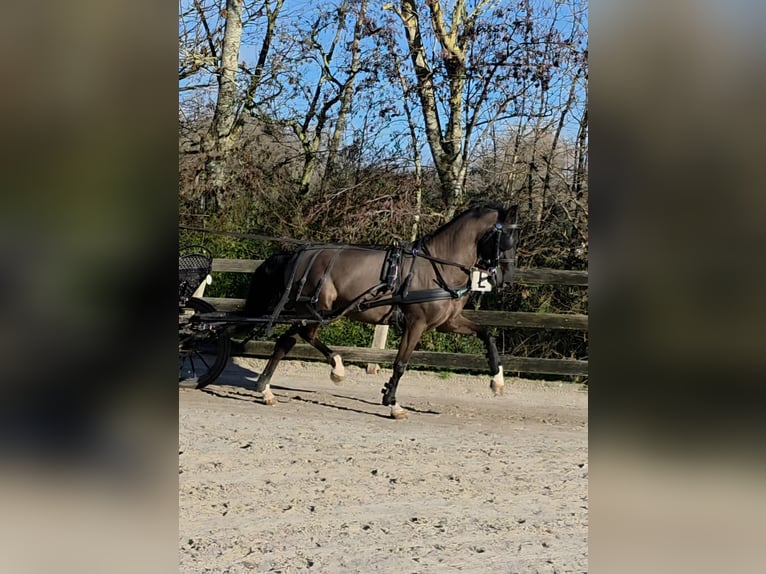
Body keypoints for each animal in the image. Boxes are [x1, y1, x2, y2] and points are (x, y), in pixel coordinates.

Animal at [243, 202, 520, 418]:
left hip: (315, 312)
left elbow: (487, 335)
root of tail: (297, 255)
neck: (437, 268)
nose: (506, 278)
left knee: (294, 340)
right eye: (505, 239)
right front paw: (393, 403)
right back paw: (281, 384)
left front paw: (497, 382)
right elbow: (401, 363)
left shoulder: (447, 322)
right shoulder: (416, 323)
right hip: (312, 310)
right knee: (292, 339)